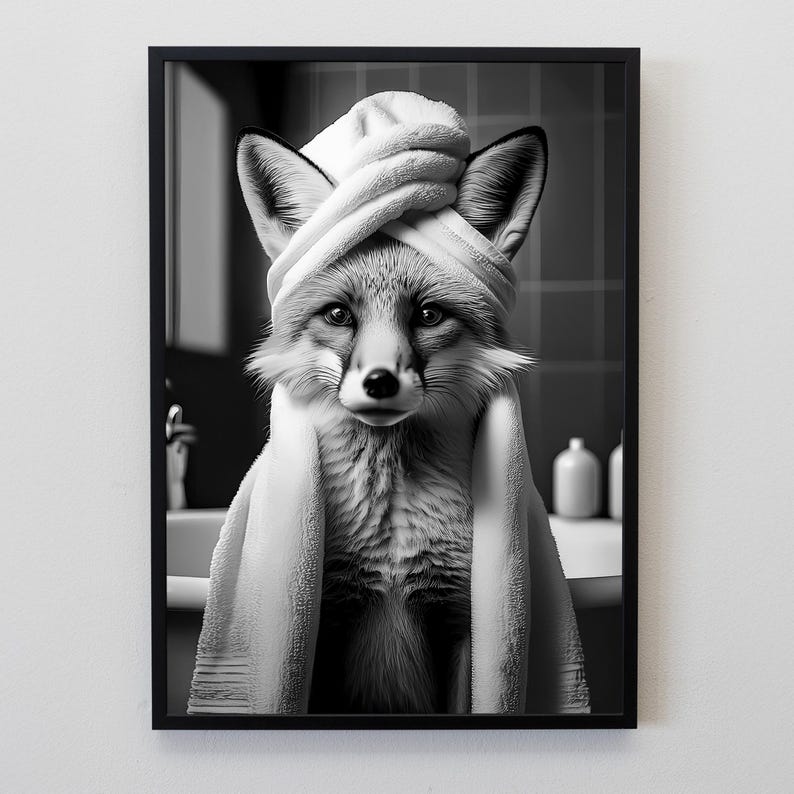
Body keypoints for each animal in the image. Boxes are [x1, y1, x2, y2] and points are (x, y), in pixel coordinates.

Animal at [236, 123, 552, 714]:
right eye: (339, 314)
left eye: (428, 314)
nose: (380, 382)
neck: (391, 540)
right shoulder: (324, 623)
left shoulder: (461, 619)